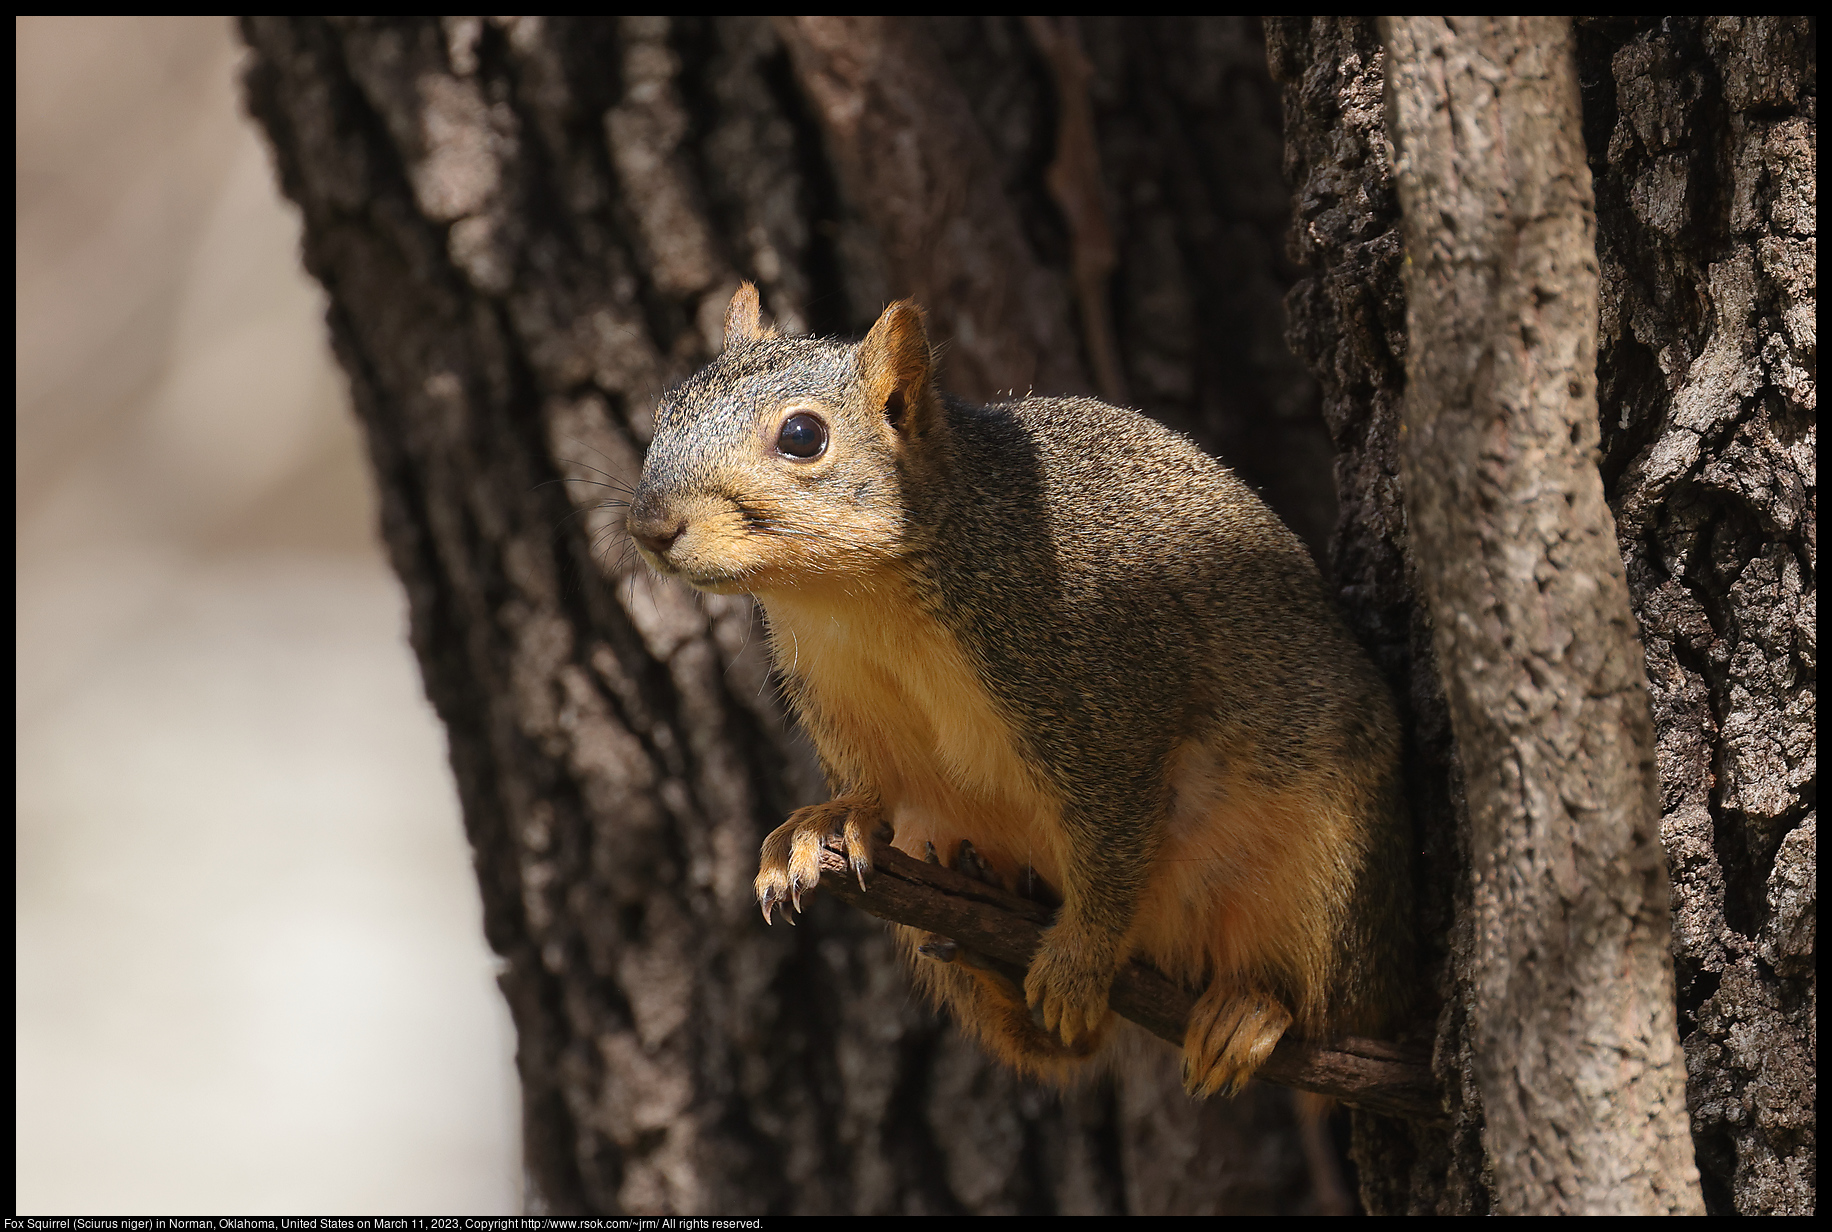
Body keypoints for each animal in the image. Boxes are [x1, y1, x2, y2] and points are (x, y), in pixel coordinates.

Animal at [622, 284, 1406, 1092]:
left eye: (803, 437)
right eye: (666, 410)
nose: (650, 526)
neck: (853, 599)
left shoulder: (1104, 697)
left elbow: (1114, 839)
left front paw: (1080, 958)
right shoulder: (844, 694)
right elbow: (873, 783)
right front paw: (825, 824)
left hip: (1328, 863)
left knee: (1320, 1007)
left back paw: (1247, 1013)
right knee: (1060, 1047)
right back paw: (989, 954)